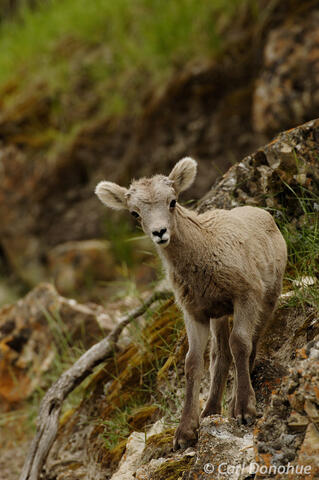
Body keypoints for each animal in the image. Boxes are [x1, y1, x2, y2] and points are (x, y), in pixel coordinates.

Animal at [95, 158, 288, 450]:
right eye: (134, 213)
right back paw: (210, 410)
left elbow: (241, 343)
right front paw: (185, 433)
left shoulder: (246, 294)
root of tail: (265, 216)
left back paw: (234, 401)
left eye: (173, 201)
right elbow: (193, 362)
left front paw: (244, 409)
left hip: (268, 298)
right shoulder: (194, 312)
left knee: (251, 343)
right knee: (220, 355)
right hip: (219, 314)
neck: (205, 250)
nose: (160, 232)